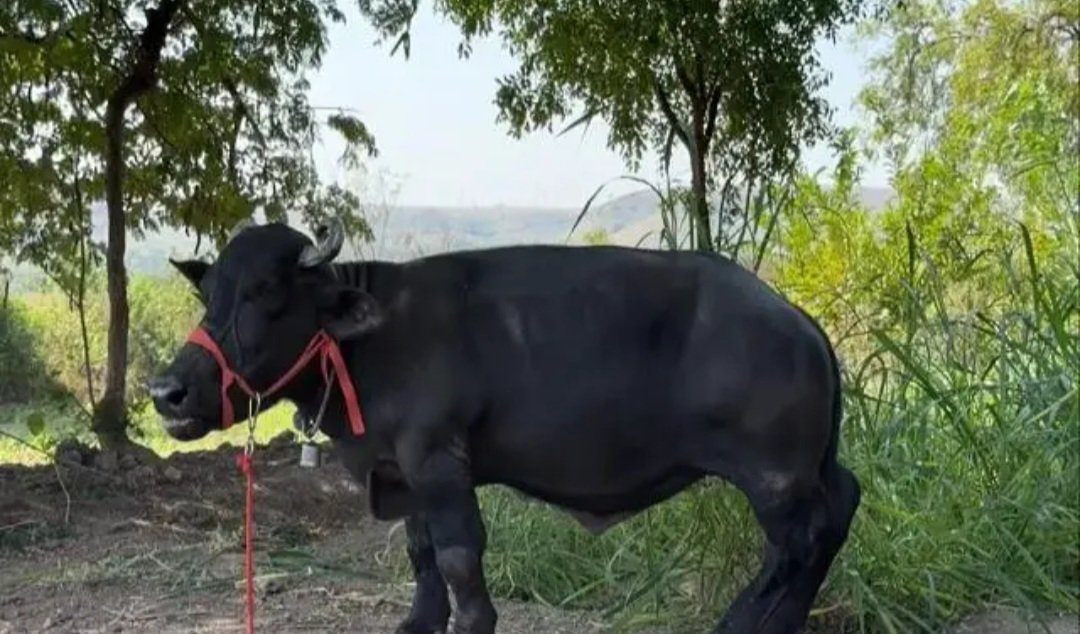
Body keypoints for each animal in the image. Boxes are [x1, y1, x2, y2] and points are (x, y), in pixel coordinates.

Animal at [149, 218, 861, 634]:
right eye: (208, 293)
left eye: (266, 291)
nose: (166, 391)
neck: (371, 341)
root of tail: (795, 318)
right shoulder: (403, 475)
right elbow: (422, 560)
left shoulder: (440, 464)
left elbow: (460, 562)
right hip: (810, 469)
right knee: (840, 508)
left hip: (774, 475)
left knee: (799, 542)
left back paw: (739, 624)